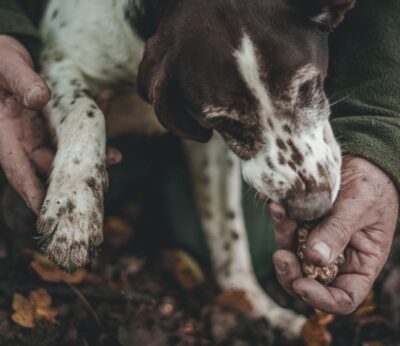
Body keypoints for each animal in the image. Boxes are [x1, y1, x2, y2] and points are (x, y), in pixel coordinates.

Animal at [38, 0, 356, 336]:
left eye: (307, 86)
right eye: (225, 121)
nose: (311, 208)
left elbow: (228, 237)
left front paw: (256, 307)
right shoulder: (58, 60)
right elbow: (86, 110)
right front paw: (72, 210)